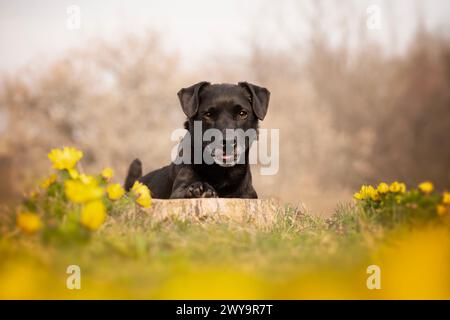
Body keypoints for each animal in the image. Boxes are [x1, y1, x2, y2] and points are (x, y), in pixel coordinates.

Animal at [124, 81, 270, 199]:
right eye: (208, 114)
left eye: (242, 113)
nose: (227, 142)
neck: (222, 174)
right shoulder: (177, 191)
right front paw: (201, 189)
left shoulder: (247, 195)